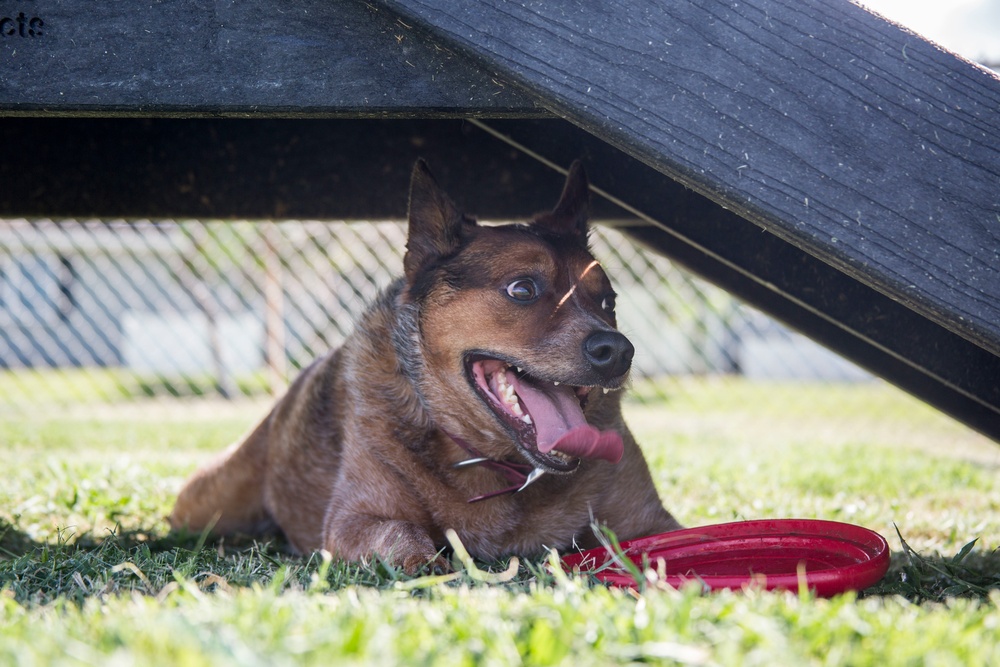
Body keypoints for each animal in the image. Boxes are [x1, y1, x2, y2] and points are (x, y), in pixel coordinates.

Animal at [174, 160, 688, 576]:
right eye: (522, 289)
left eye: (608, 301)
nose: (618, 351)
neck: (496, 463)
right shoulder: (354, 522)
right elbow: (400, 536)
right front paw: (430, 563)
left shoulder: (652, 523)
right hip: (210, 499)